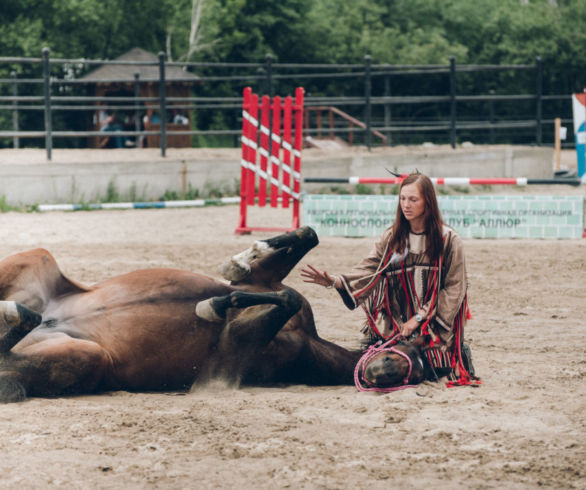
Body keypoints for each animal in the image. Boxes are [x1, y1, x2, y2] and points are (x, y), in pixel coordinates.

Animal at [0, 226, 428, 402]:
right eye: (413, 354)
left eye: (415, 370)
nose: (383, 371)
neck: (308, 340)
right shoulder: (264, 282)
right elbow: (302, 245)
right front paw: (237, 266)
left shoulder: (233, 351)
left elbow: (282, 297)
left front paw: (215, 303)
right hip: (38, 258)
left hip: (89, 356)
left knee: (18, 338)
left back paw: (15, 314)